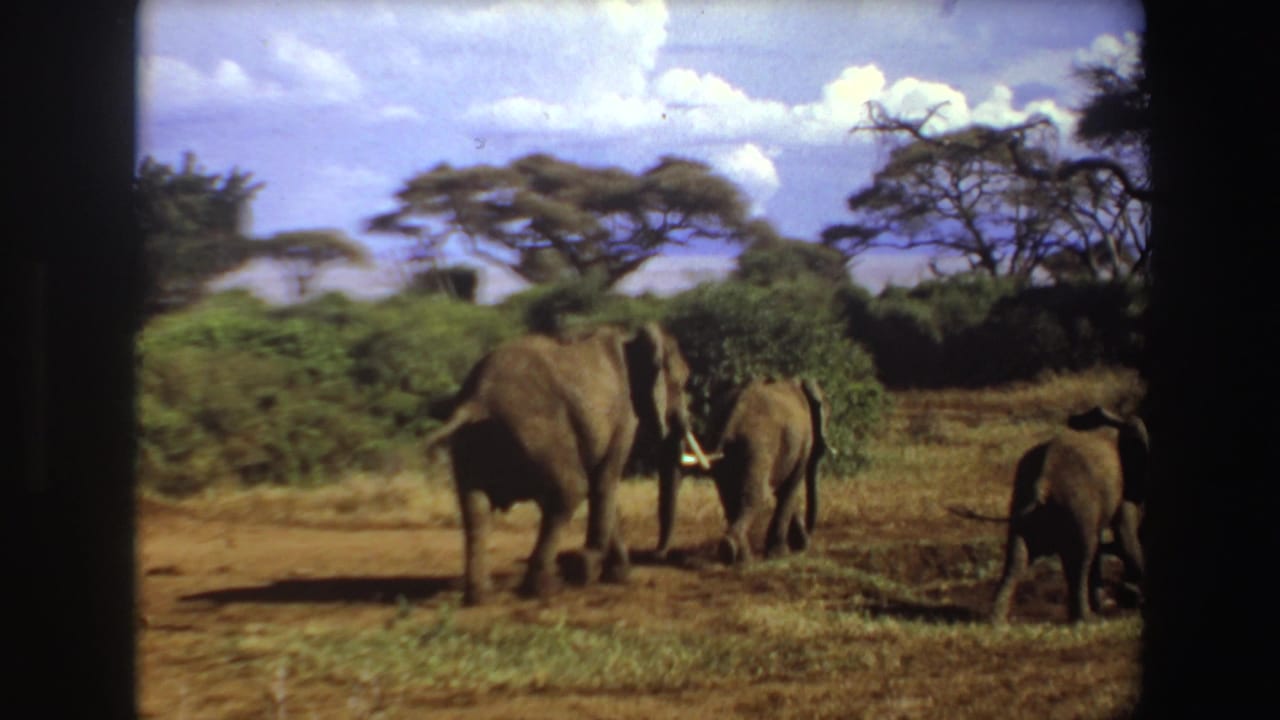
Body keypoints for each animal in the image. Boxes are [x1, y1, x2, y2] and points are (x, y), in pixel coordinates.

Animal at [423, 323, 709, 605]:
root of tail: (477, 401)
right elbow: (604, 483)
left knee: (475, 510)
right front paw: (587, 569)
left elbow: (599, 489)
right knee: (570, 491)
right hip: (537, 431)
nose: (658, 556)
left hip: (472, 444)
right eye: (682, 383)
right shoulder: (624, 416)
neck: (631, 339)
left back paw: (481, 597)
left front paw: (618, 576)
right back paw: (544, 589)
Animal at [699, 377, 831, 565]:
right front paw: (780, 554)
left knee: (729, 495)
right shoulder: (804, 441)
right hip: (758, 445)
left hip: (719, 446)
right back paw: (734, 552)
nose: (805, 543)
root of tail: (732, 418)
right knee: (755, 495)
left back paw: (739, 557)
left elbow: (785, 490)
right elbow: (790, 488)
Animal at [950, 405, 1148, 623]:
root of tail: (1043, 481)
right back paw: (1085, 619)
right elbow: (1126, 537)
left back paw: (997, 621)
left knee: (1017, 557)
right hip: (1076, 503)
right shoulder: (1123, 488)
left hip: (1024, 501)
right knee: (1082, 555)